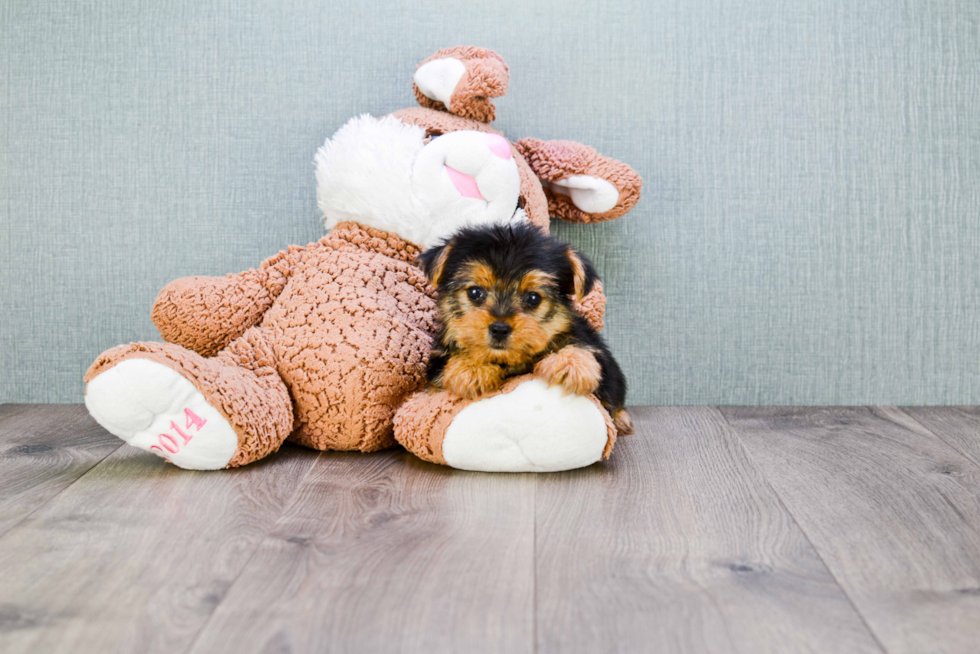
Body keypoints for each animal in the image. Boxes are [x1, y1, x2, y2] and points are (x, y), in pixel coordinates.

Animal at [418, 224, 632, 436]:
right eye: (475, 292)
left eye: (533, 298)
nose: (499, 329)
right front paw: (471, 368)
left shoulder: (596, 353)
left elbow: (583, 348)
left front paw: (570, 363)